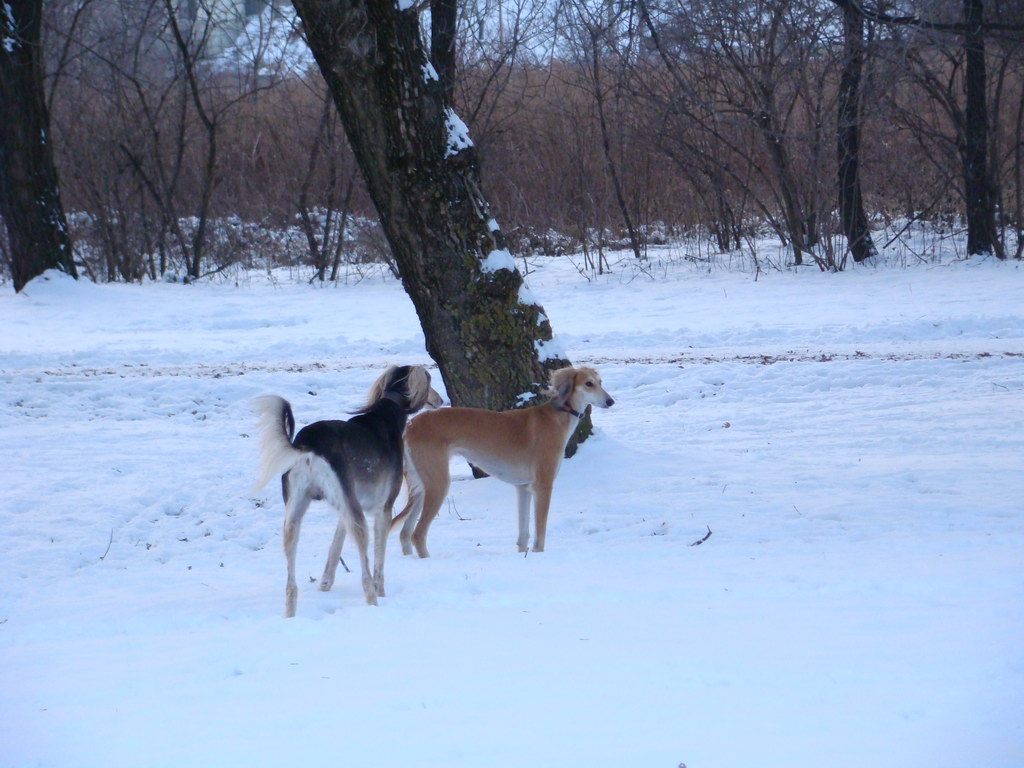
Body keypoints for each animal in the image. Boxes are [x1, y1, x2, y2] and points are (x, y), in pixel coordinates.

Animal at [253, 366, 442, 618]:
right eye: (430, 382)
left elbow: (335, 545)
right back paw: (373, 602)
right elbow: (378, 561)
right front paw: (381, 592)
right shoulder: (383, 508)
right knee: (365, 574)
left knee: (290, 584)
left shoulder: (349, 504)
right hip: (356, 517)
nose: (440, 400)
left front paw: (325, 583)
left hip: (296, 514)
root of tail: (309, 444)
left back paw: (290, 615)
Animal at [391, 366, 614, 561]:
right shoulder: (543, 486)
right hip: (438, 483)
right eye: (588, 383)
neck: (558, 416)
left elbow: (523, 534)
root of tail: (411, 425)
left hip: (421, 486)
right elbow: (540, 533)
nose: (610, 401)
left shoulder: (523, 488)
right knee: (417, 534)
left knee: (404, 533)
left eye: (600, 382)